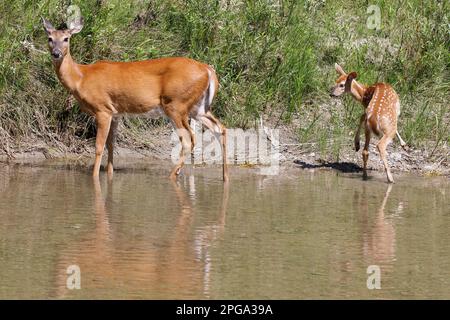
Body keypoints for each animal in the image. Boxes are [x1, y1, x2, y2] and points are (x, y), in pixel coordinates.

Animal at [43, 16, 229, 182]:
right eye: (50, 38)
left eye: (66, 38)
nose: (56, 53)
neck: (81, 78)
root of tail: (208, 70)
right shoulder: (115, 113)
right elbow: (111, 145)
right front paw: (110, 174)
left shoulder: (102, 109)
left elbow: (99, 146)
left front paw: (95, 177)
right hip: (198, 108)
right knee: (220, 128)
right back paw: (225, 177)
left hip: (176, 104)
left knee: (189, 139)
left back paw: (173, 175)